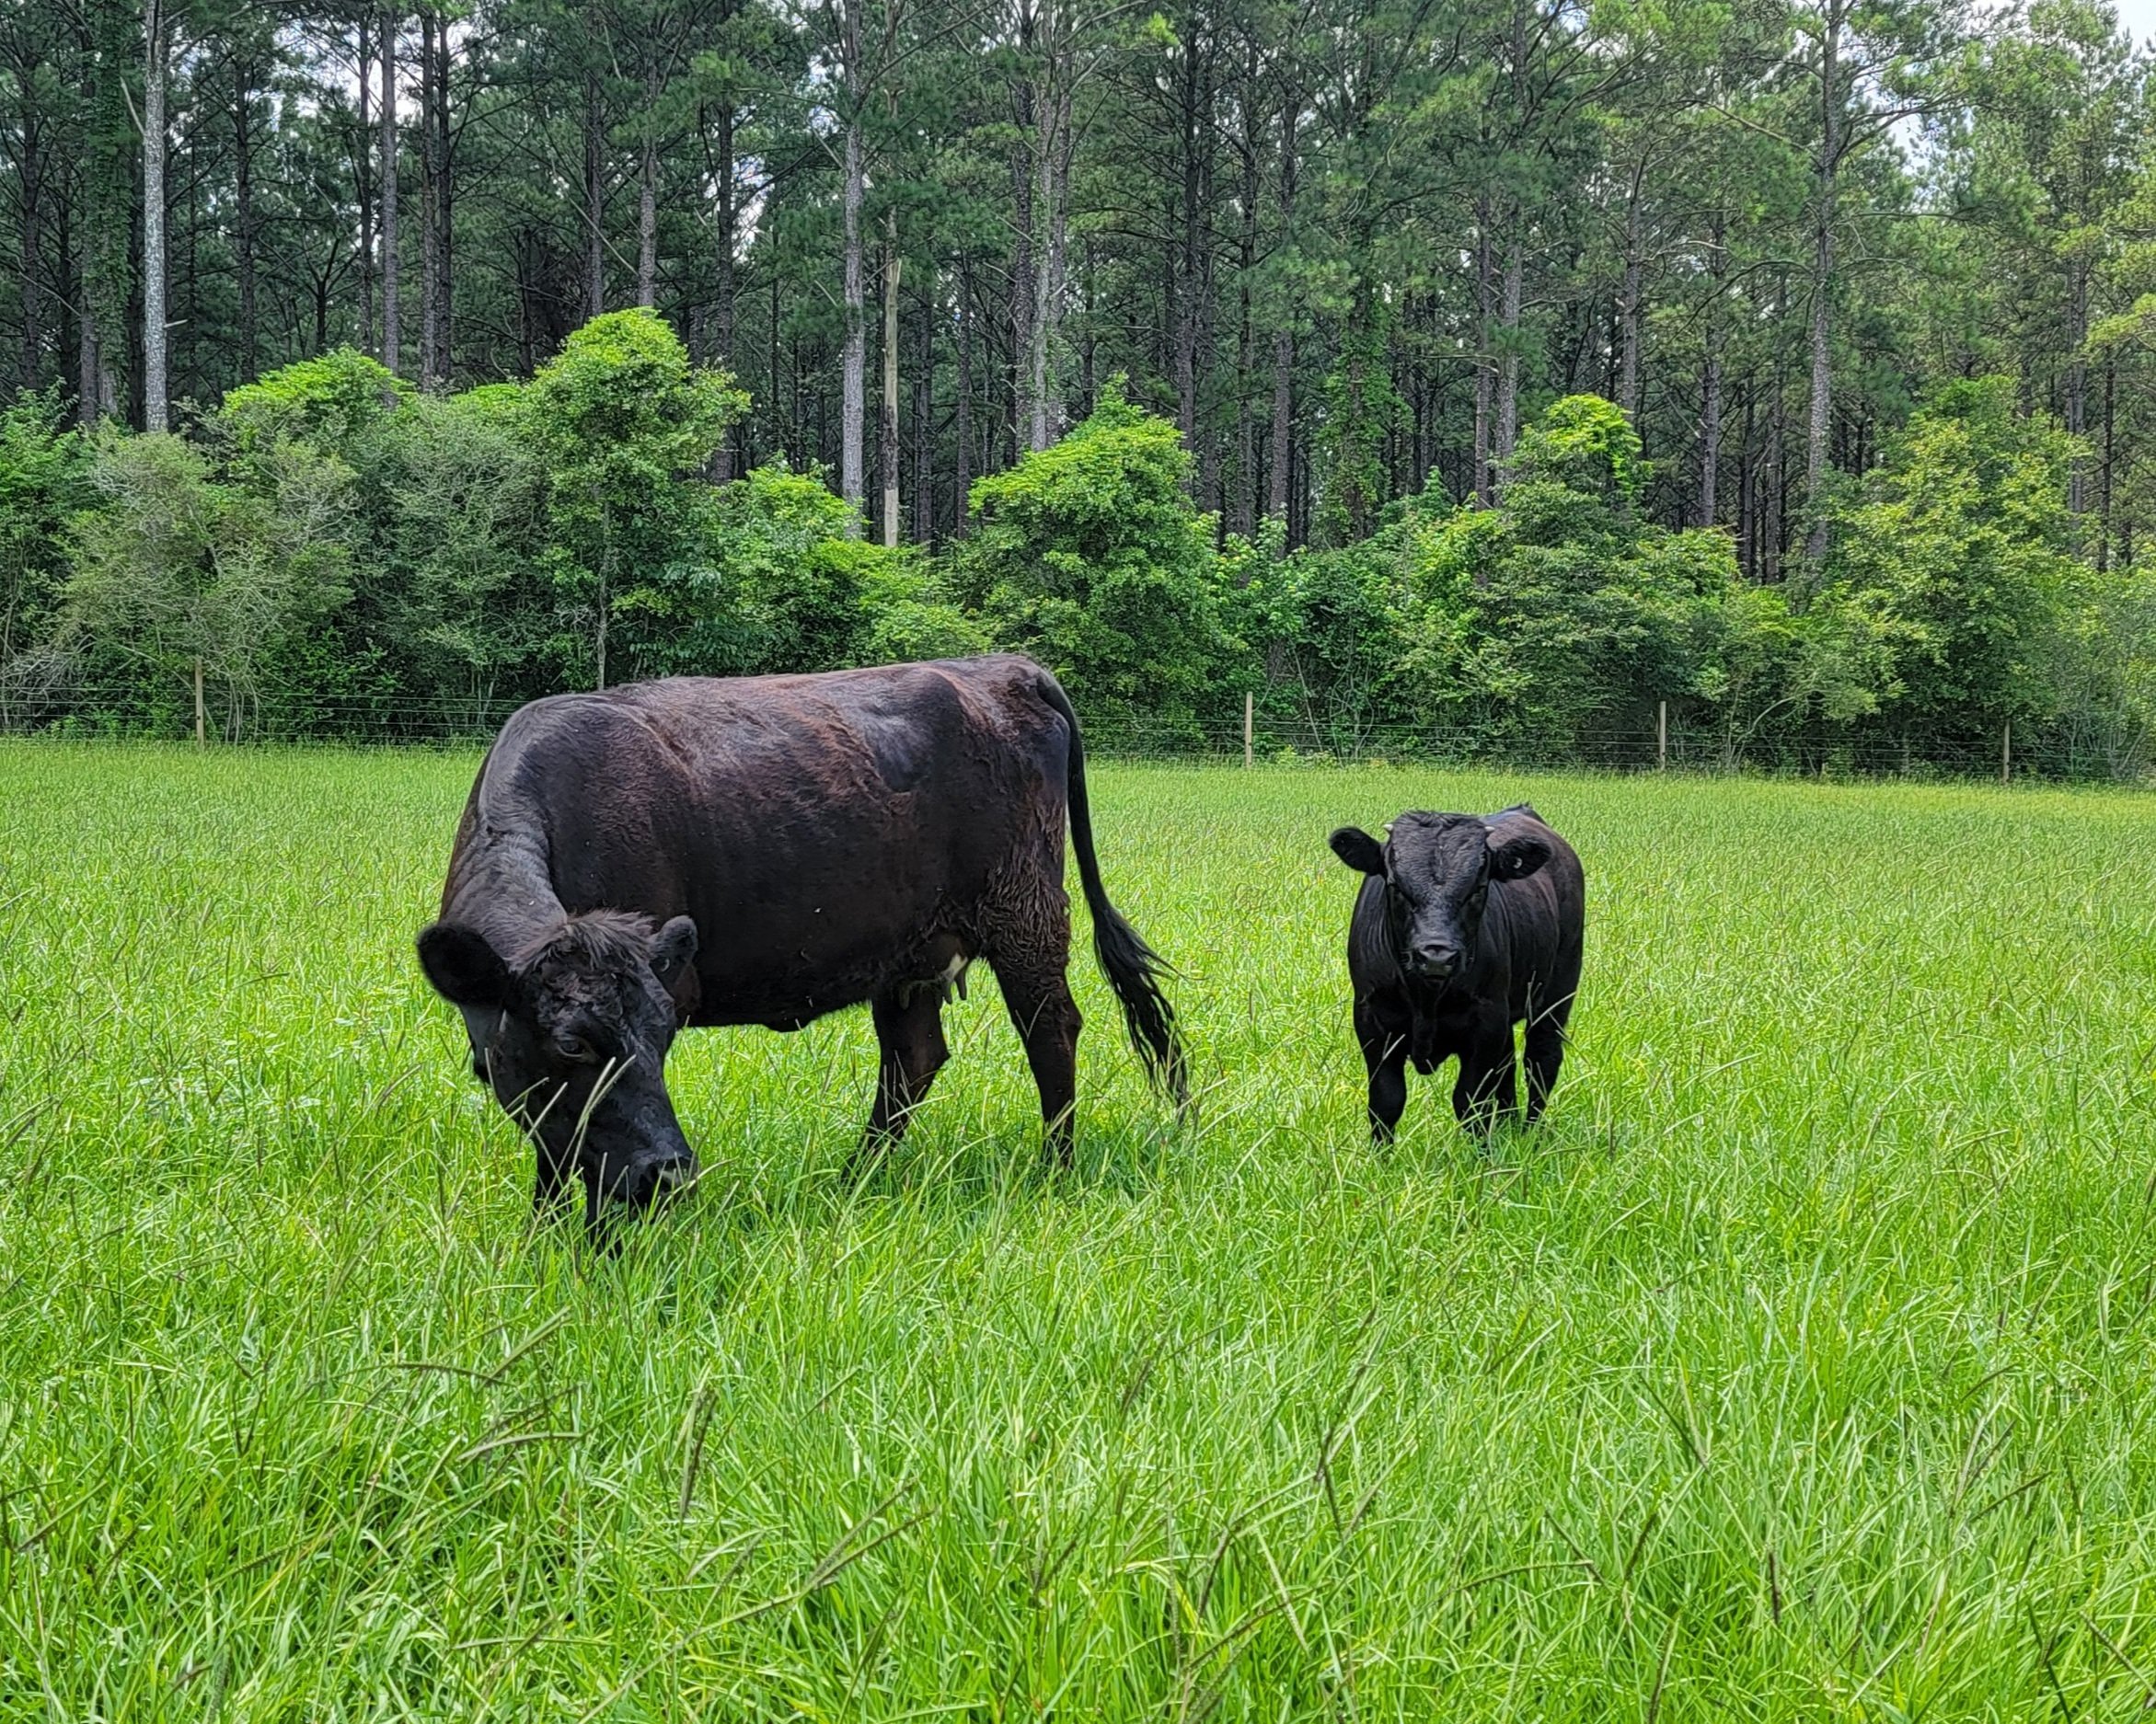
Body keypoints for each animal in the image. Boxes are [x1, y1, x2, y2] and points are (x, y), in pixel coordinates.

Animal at [415, 655, 1186, 1229]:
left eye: (663, 1036)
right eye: (571, 1044)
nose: (669, 1175)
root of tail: (1003, 668)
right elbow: (555, 1143)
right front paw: (543, 1238)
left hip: (1023, 913)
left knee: (1049, 1029)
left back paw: (1052, 1170)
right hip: (909, 952)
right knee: (912, 1058)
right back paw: (854, 1181)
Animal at [1327, 805, 1584, 1140]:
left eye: (1478, 888)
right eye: (1395, 887)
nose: (1436, 956)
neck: (1426, 999)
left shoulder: (1486, 1024)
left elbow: (1471, 1103)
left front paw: (1483, 1153)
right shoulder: (1372, 1022)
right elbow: (1386, 1103)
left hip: (1557, 992)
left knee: (1541, 1060)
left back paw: (1530, 1135)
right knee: (1508, 1066)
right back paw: (1510, 1126)